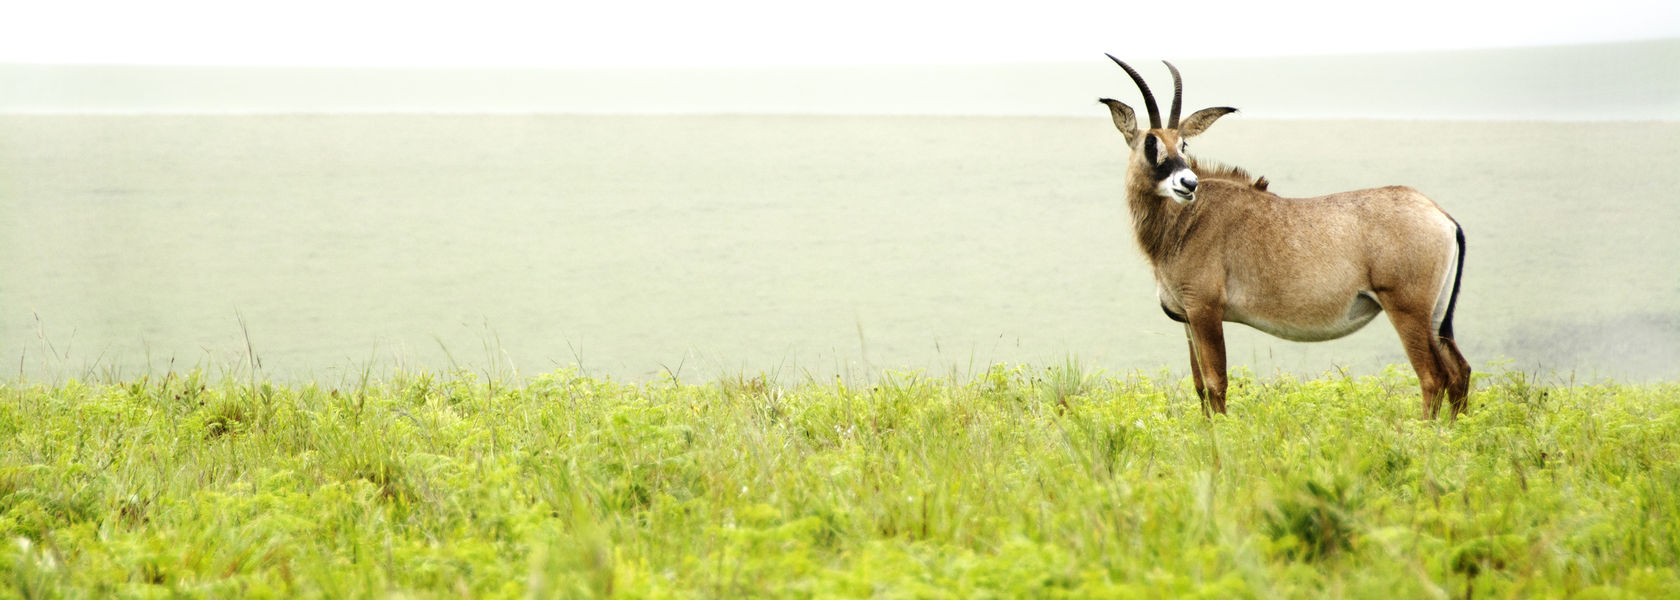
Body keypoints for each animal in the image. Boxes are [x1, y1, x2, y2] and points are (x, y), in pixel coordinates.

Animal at [1102, 58, 1471, 418]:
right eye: (1150, 143)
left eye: (1183, 144)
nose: (1188, 184)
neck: (1186, 221)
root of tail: (1442, 216)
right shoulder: (1187, 318)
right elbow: (1200, 388)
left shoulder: (1205, 311)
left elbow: (1216, 384)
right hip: (1434, 317)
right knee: (1459, 372)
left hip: (1407, 310)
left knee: (1433, 377)